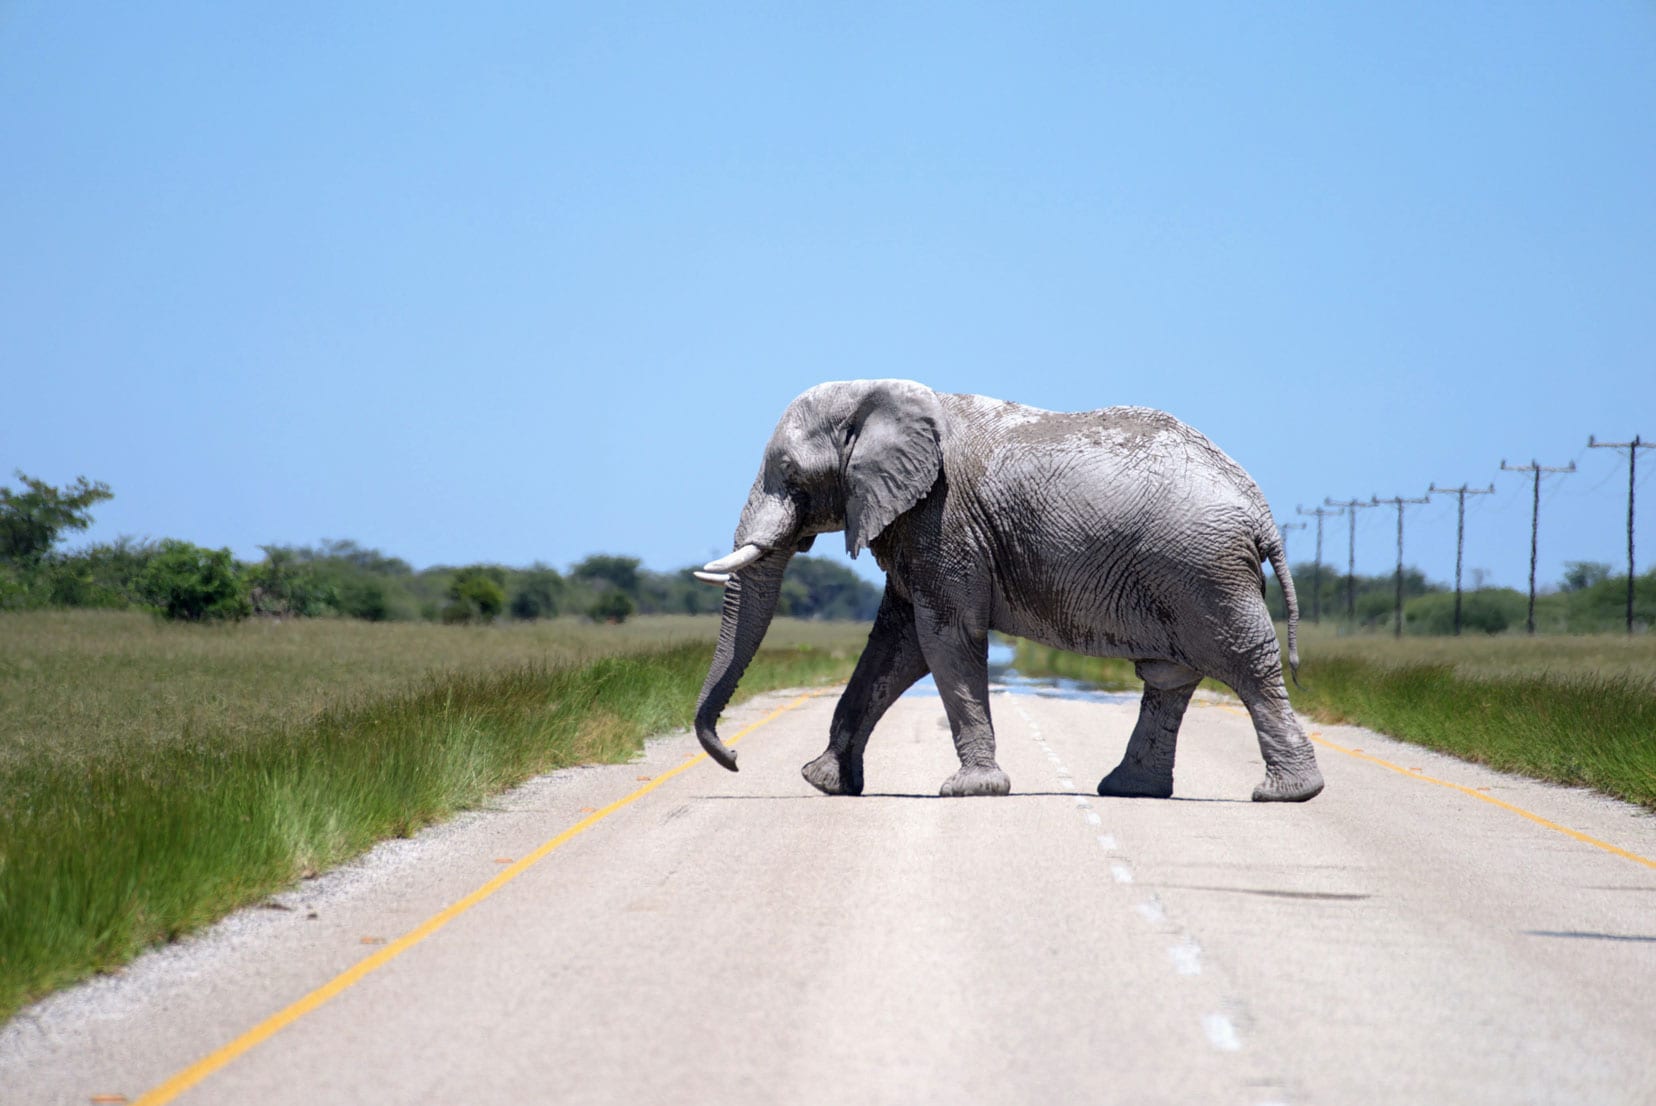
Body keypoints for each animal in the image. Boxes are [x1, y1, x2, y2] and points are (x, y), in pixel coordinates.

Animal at [692, 380, 1324, 804]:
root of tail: (1260, 510)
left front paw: (970, 790)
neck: (878, 393)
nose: (735, 758)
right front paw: (824, 782)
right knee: (1172, 678)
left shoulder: (943, 517)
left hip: (1204, 570)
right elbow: (896, 646)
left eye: (791, 475)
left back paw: (1288, 793)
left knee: (1244, 665)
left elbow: (944, 637)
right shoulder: (918, 525)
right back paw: (1129, 791)